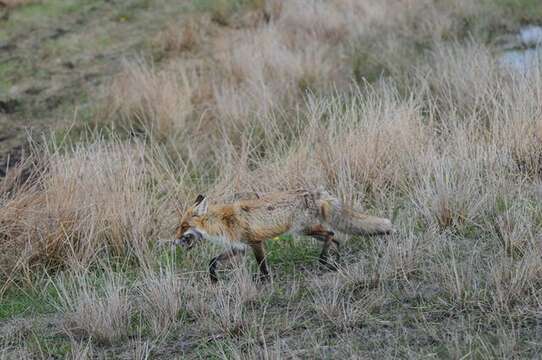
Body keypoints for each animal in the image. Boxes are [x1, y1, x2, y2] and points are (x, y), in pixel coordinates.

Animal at [176, 188, 394, 282]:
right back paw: (334, 262)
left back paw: (323, 260)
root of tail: (317, 193)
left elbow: (262, 266)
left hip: (305, 230)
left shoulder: (255, 242)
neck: (221, 221)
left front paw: (265, 281)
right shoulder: (239, 247)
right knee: (336, 239)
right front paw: (213, 278)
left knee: (331, 233)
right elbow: (212, 261)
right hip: (309, 232)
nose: (175, 240)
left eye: (183, 226)